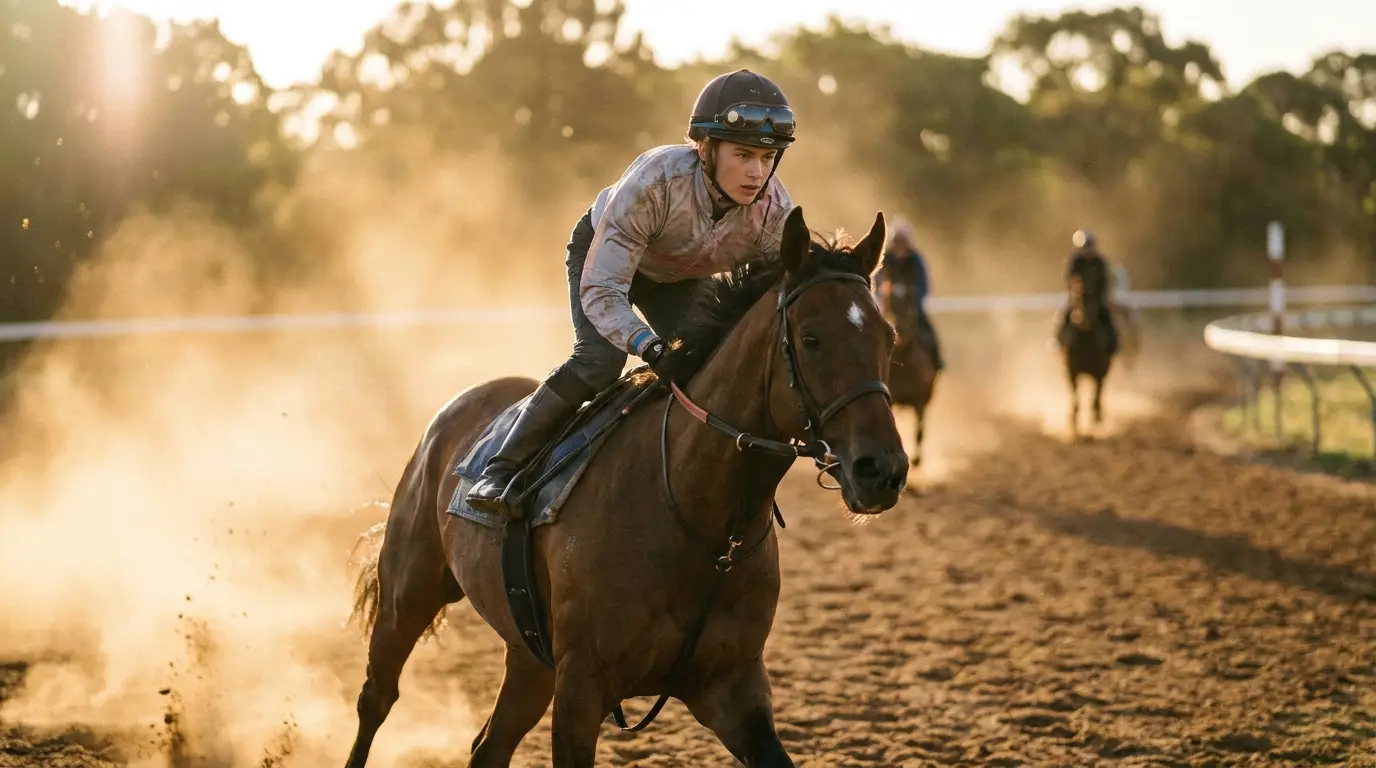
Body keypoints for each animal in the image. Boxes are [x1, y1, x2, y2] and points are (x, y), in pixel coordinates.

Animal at [343, 205, 909, 768]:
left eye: (888, 337)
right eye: (812, 339)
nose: (881, 469)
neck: (696, 518)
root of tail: (452, 413)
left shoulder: (732, 686)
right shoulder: (580, 687)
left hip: (529, 657)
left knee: (489, 746)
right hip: (408, 596)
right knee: (376, 698)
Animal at [1058, 273, 1115, 437]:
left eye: (1093, 299)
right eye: (1077, 297)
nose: (1082, 321)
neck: (1086, 341)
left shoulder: (1099, 373)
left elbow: (1095, 398)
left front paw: (1095, 424)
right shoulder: (1072, 372)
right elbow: (1076, 399)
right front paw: (1074, 426)